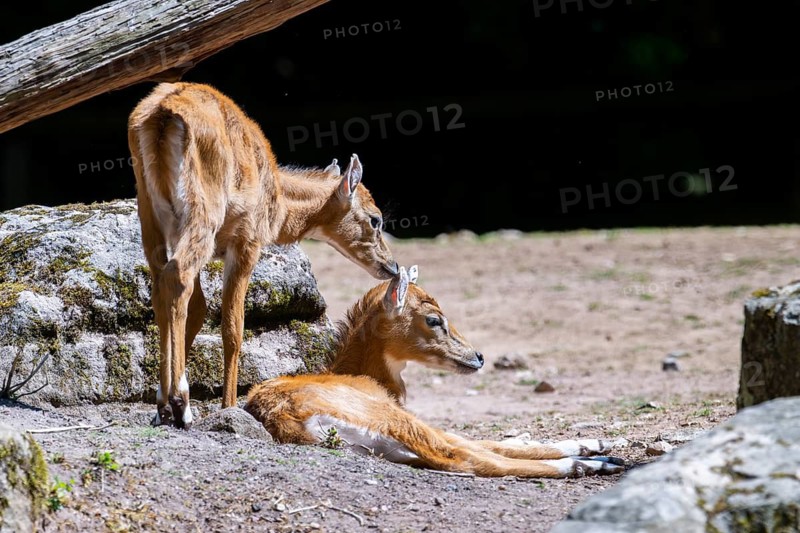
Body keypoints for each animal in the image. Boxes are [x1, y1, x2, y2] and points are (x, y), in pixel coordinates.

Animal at [127, 82, 398, 429]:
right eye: (375, 219)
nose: (391, 266)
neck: (280, 204)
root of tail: (163, 112)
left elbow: (198, 311)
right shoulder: (247, 240)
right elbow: (233, 326)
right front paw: (228, 405)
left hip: (150, 214)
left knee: (162, 285)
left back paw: (164, 404)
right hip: (203, 212)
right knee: (177, 275)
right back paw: (180, 405)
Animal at [244, 266, 626, 478]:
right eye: (433, 319)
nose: (478, 357)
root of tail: (287, 418)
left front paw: (601, 440)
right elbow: (481, 442)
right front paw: (601, 445)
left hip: (389, 446)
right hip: (394, 421)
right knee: (468, 457)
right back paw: (600, 464)